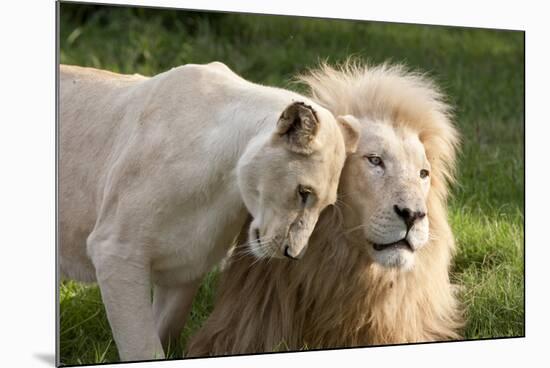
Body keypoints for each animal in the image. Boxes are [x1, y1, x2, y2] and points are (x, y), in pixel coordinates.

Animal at [59, 61, 362, 360]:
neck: (225, 188)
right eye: (303, 193)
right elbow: (142, 346)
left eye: (325, 206)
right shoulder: (116, 251)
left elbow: (165, 329)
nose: (292, 254)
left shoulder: (186, 266)